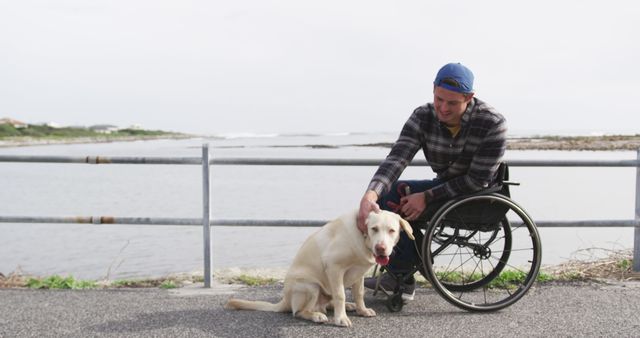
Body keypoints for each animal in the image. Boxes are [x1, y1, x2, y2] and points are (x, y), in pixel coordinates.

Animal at [225, 210, 416, 326]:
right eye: (374, 229)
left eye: (391, 230)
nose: (381, 248)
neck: (364, 240)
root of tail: (284, 300)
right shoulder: (334, 267)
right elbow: (340, 294)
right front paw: (341, 319)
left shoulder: (358, 273)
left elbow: (359, 293)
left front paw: (361, 310)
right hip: (310, 286)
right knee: (299, 311)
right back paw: (316, 315)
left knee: (327, 303)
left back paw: (348, 306)